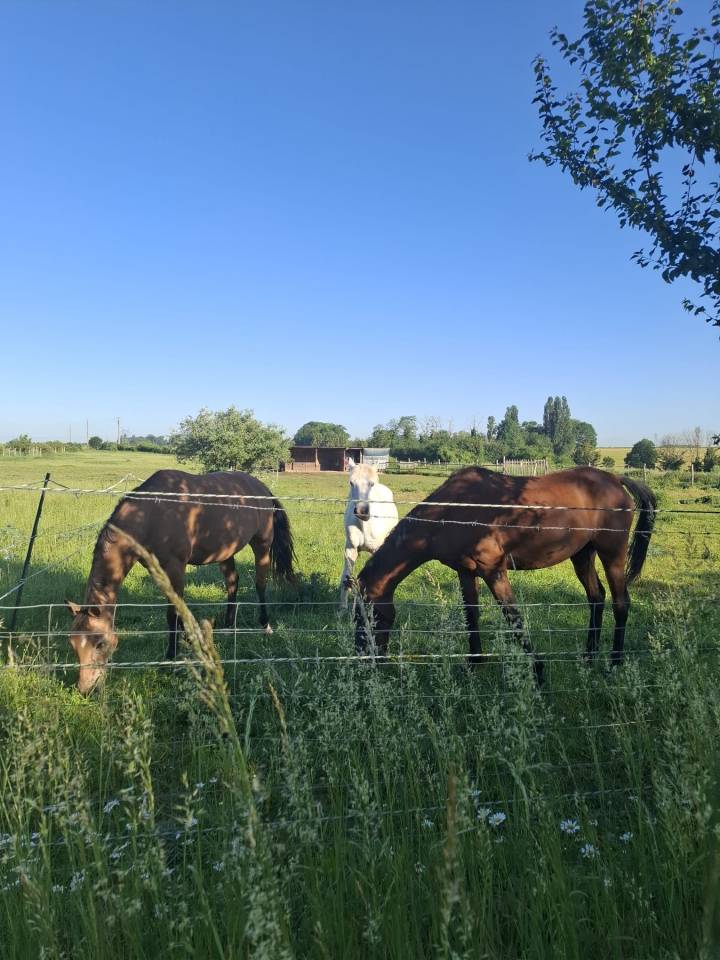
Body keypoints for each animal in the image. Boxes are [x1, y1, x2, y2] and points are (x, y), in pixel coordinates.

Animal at [65, 469, 295, 694]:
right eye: (73, 643)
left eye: (100, 643)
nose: (85, 689)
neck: (151, 514)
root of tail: (262, 488)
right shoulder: (157, 570)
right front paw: (189, 641)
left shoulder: (176, 567)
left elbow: (173, 612)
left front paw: (171, 656)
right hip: (226, 551)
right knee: (232, 581)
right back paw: (229, 626)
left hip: (262, 544)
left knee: (260, 583)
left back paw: (265, 625)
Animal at [340, 458, 399, 608]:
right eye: (351, 482)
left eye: (372, 483)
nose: (362, 511)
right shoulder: (350, 548)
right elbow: (346, 578)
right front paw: (342, 609)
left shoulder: (376, 550)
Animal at [354, 466, 656, 682]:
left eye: (366, 615)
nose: (365, 661)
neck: (453, 509)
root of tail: (616, 480)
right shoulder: (466, 572)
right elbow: (471, 615)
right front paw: (473, 663)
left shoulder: (494, 570)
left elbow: (514, 618)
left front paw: (538, 672)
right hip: (583, 555)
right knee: (596, 598)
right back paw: (588, 657)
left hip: (612, 554)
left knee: (620, 603)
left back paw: (614, 664)